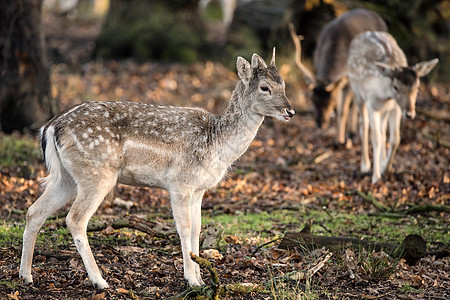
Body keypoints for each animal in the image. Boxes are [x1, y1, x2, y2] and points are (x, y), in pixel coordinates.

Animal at [17, 49, 294, 288]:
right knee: (74, 219)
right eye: (265, 87)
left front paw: (201, 277)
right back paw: (100, 281)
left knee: (34, 211)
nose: (290, 111)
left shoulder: (198, 189)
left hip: (66, 178)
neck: (217, 143)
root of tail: (50, 127)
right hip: (97, 174)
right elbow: (184, 228)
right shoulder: (180, 183)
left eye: (284, 85)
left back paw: (26, 276)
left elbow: (198, 229)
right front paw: (192, 280)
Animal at [290, 8, 388, 146]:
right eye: (312, 98)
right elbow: (337, 110)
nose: (321, 122)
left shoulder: (349, 79)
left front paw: (341, 141)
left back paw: (353, 133)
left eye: (331, 99)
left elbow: (343, 110)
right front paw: (337, 139)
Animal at [348, 32, 440, 183]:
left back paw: (381, 161)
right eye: (396, 87)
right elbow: (376, 139)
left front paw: (385, 168)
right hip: (357, 94)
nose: (410, 113)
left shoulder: (395, 108)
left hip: (385, 110)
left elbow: (395, 138)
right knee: (363, 126)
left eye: (417, 86)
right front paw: (376, 177)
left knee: (382, 129)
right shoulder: (371, 104)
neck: (385, 95)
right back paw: (365, 165)